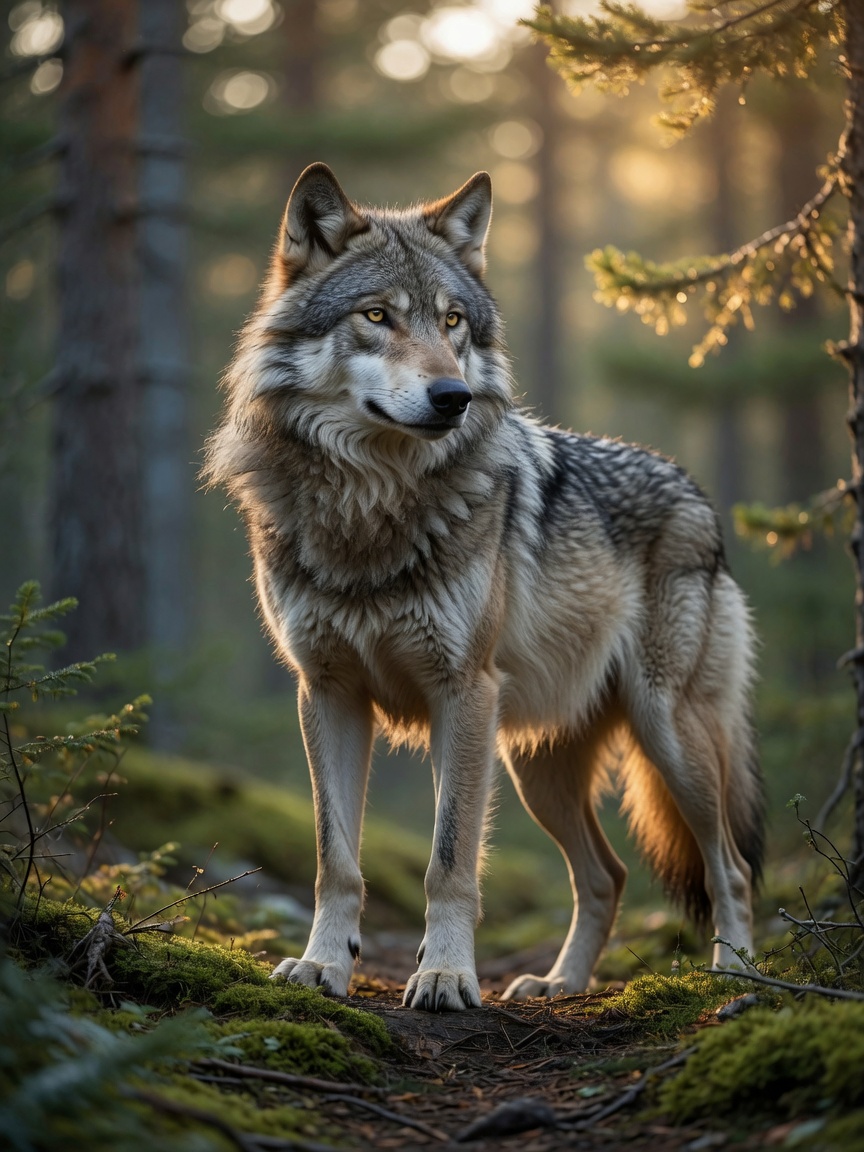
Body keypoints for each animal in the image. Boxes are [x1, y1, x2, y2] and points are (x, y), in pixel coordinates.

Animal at [204, 163, 763, 1012]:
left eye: (453, 321)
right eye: (377, 316)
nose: (452, 398)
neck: (370, 504)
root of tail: (695, 493)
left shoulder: (461, 692)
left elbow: (449, 861)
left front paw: (443, 977)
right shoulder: (327, 693)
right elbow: (337, 859)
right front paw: (322, 966)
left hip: (668, 735)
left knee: (725, 864)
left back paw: (734, 972)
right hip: (536, 769)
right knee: (607, 875)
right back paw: (560, 984)